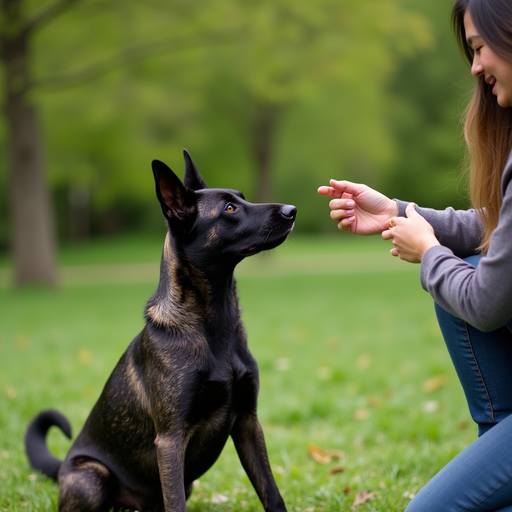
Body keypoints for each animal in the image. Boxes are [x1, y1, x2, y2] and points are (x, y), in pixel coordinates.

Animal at [25, 149, 296, 512]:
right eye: (229, 209)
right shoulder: (170, 439)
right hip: (91, 479)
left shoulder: (248, 423)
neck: (214, 326)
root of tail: (64, 466)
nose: (292, 211)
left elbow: (271, 492)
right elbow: (176, 503)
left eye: (241, 198)